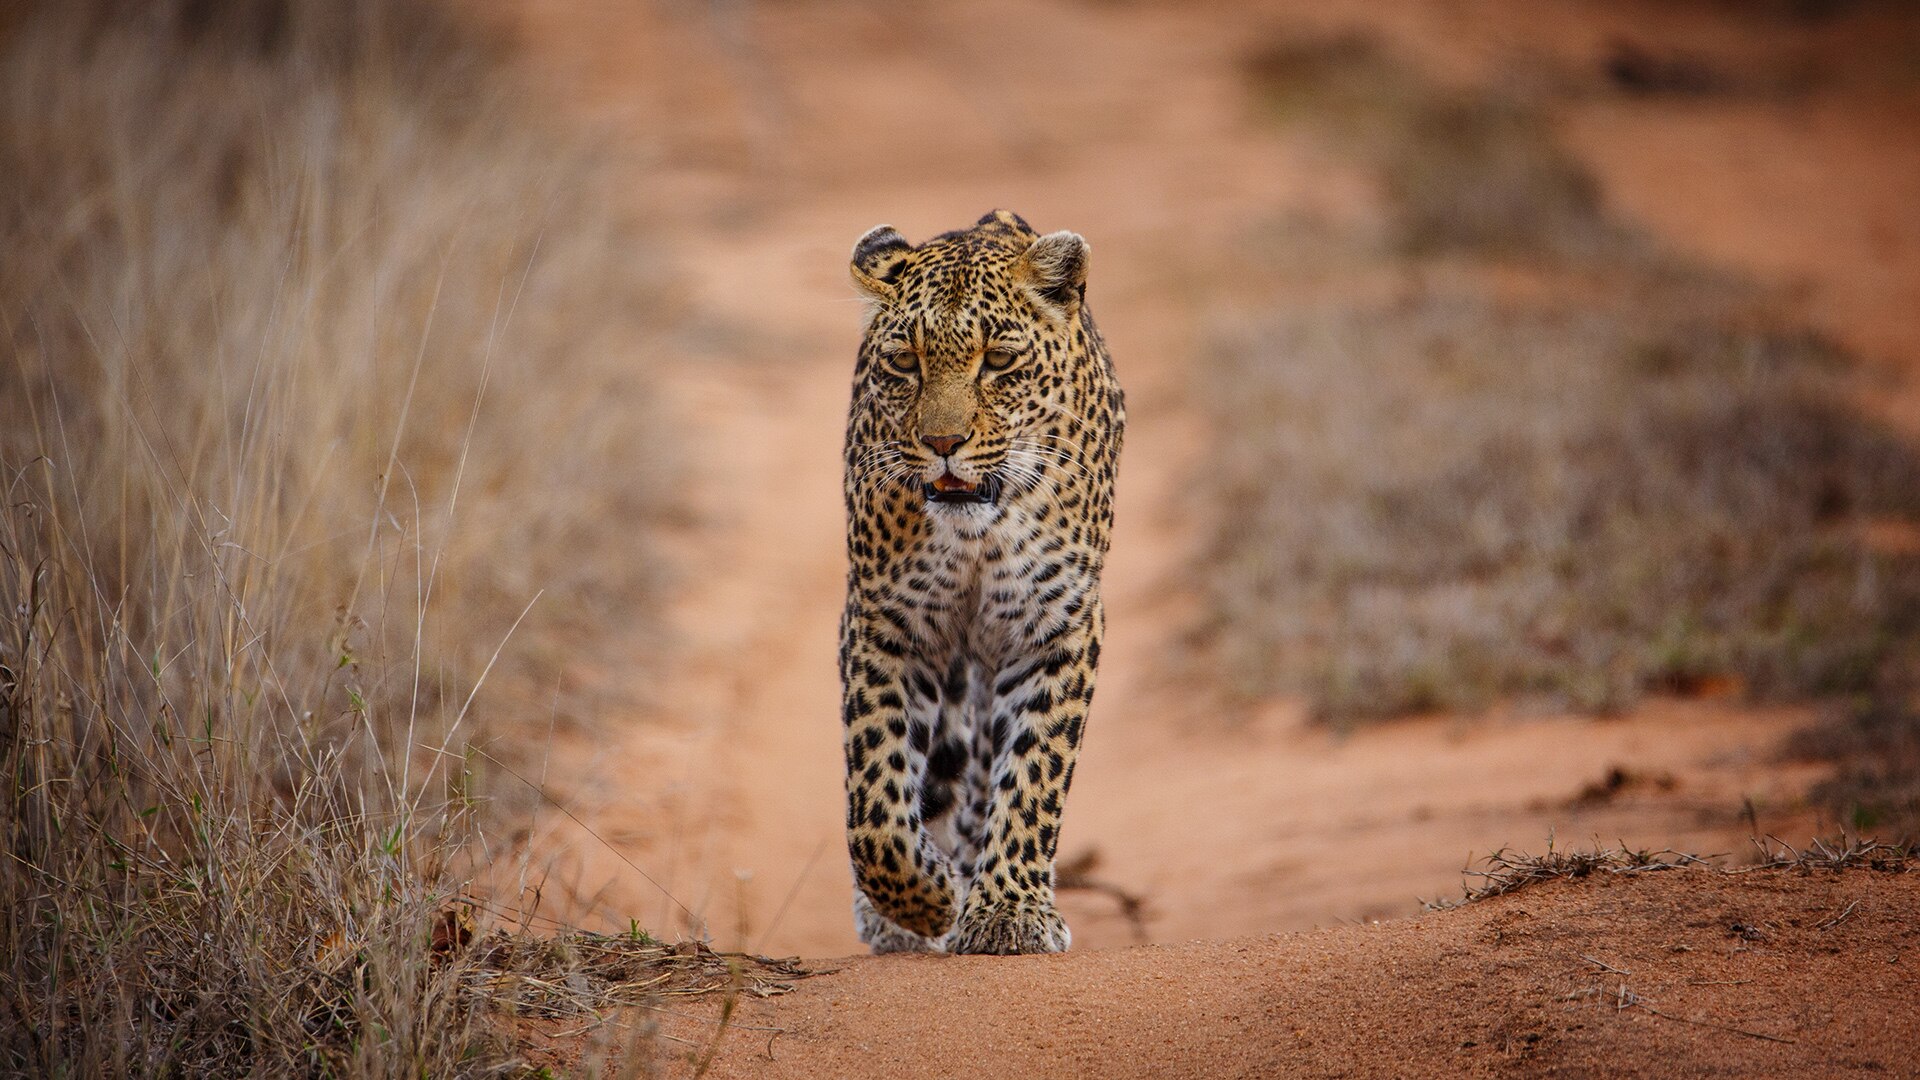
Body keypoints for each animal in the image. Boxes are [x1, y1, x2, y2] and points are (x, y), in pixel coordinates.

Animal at [839, 209, 1125, 955]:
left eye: (997, 361)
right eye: (904, 363)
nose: (944, 444)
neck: (975, 531)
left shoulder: (1054, 623)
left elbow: (1033, 776)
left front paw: (1007, 913)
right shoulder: (888, 623)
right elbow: (875, 804)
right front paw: (925, 901)